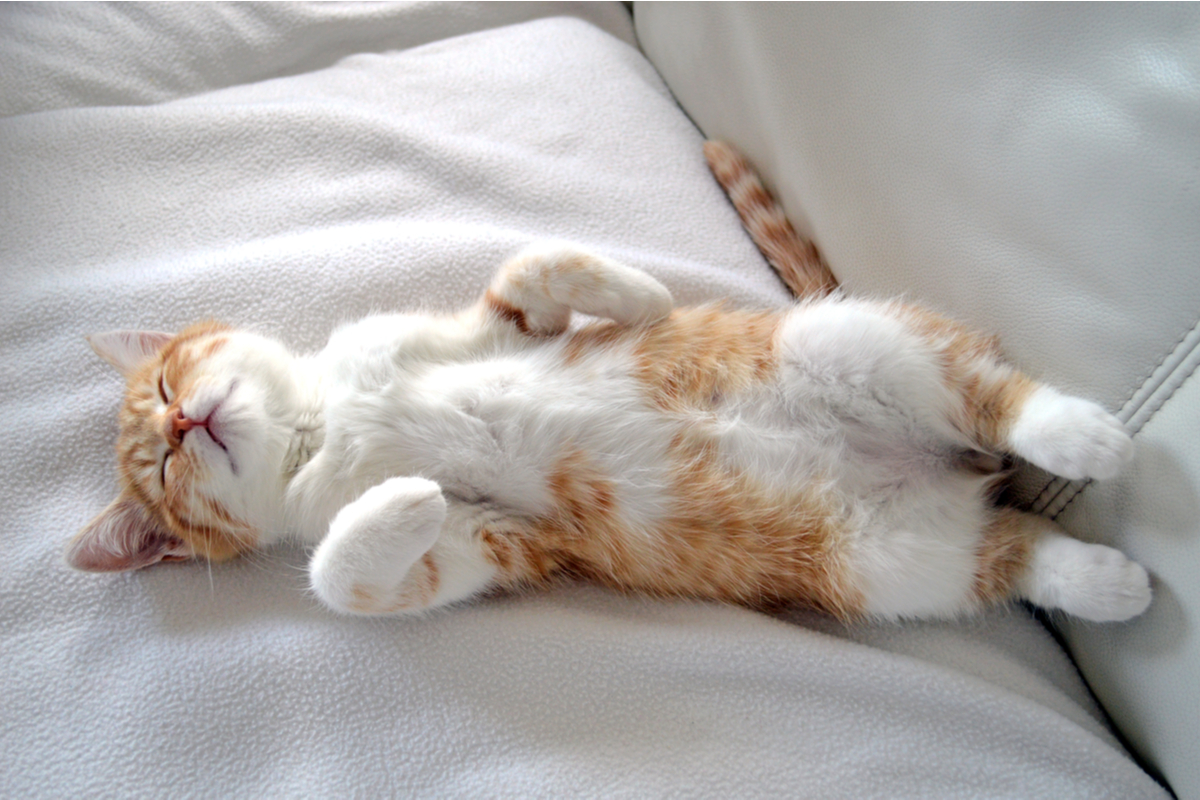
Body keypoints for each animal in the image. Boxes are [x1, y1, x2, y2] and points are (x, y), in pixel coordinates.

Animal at [68, 149, 1152, 623]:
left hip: (845, 341)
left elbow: (530, 268)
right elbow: (354, 577)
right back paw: (1106, 576)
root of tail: (942, 468)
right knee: (1006, 551)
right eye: (159, 471)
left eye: (163, 379)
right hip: (884, 559)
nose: (180, 419)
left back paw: (1082, 431)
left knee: (991, 394)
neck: (325, 424)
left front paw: (640, 294)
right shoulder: (492, 546)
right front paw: (402, 497)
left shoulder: (453, 331)